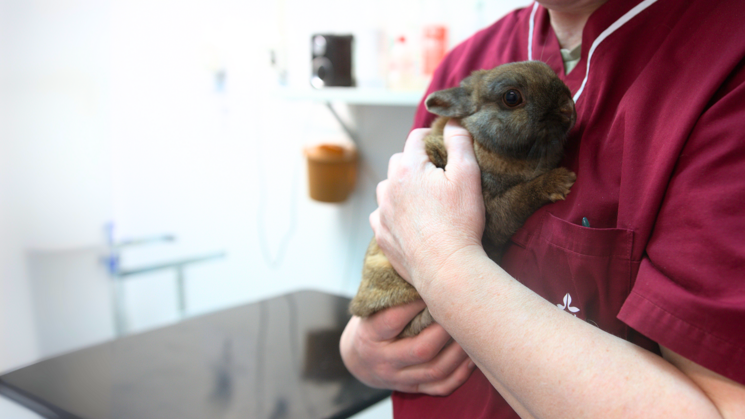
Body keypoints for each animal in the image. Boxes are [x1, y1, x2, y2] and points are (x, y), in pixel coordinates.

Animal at [350, 61, 577, 337]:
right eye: (512, 97)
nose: (568, 108)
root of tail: (359, 308)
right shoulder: (494, 211)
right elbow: (519, 197)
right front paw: (561, 181)